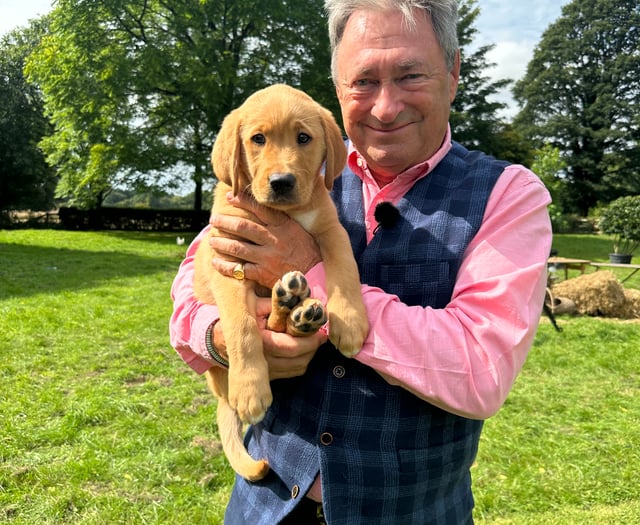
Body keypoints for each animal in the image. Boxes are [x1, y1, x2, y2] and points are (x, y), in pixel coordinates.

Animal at [192, 84, 368, 482]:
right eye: (258, 139)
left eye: (304, 138)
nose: (282, 183)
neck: (284, 213)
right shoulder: (227, 262)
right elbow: (241, 328)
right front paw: (250, 389)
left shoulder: (331, 229)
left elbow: (345, 270)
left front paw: (350, 321)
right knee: (266, 325)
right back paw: (292, 306)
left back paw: (300, 312)